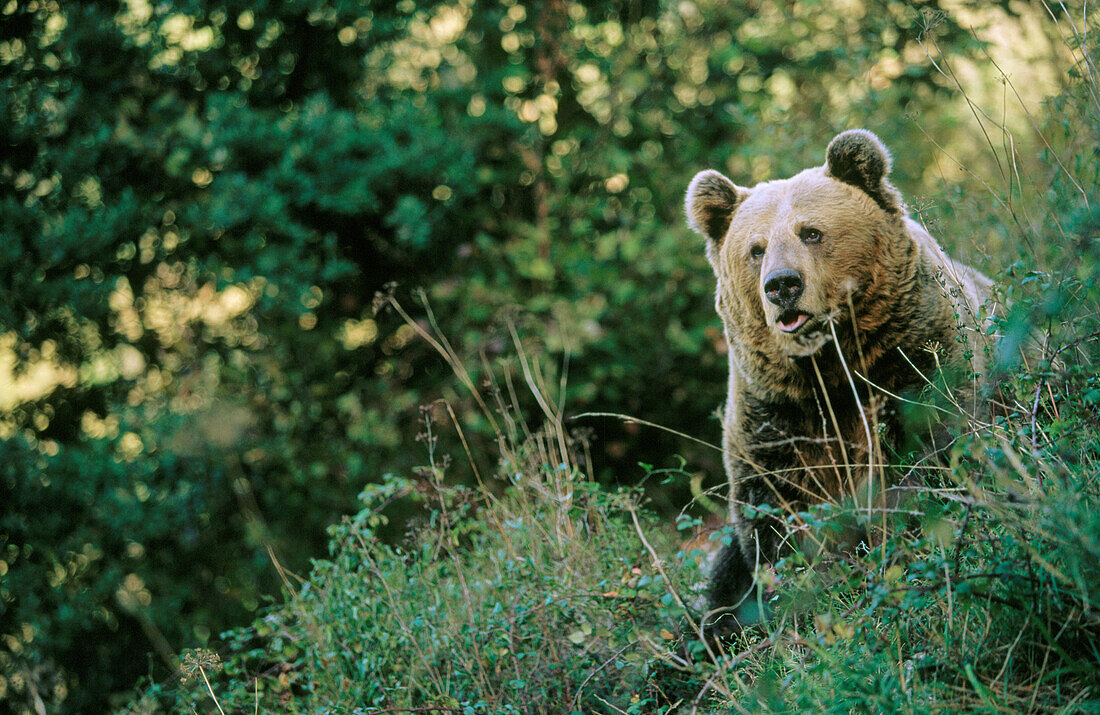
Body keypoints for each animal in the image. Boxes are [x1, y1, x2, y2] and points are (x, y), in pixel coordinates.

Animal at [682, 126, 994, 633]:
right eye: (756, 248)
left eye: (811, 232)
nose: (782, 285)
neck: (832, 368)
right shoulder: (775, 413)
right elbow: (775, 520)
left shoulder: (913, 361)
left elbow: (931, 460)